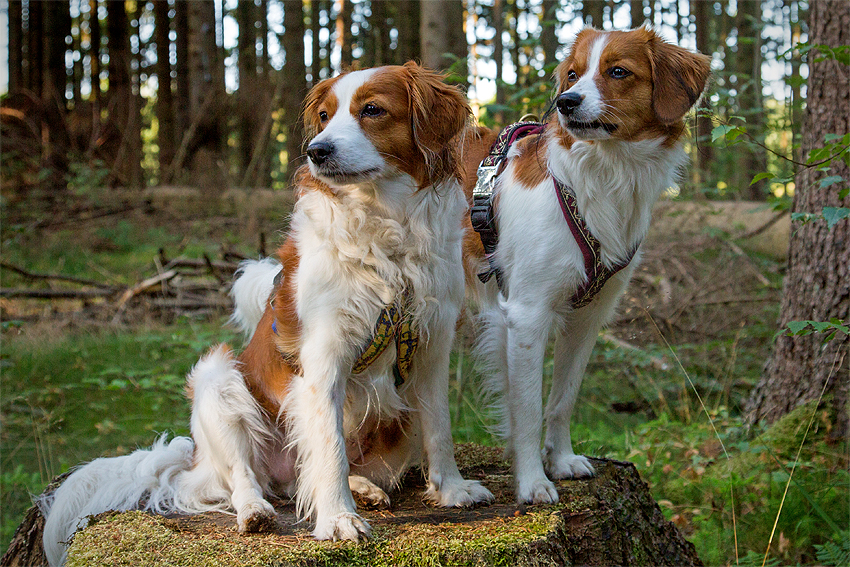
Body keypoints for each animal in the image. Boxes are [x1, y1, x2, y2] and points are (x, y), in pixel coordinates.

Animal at [43, 63, 494, 567]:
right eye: (324, 116)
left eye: (373, 110)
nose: (317, 151)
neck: (386, 222)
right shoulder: (323, 358)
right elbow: (330, 447)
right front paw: (338, 519)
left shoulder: (431, 346)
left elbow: (439, 428)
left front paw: (452, 490)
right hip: (218, 382)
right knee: (246, 478)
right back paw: (257, 509)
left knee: (306, 476)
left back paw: (363, 488)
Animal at [460, 27, 712, 506]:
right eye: (574, 75)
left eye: (619, 72)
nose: (566, 102)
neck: (607, 171)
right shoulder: (527, 314)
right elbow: (528, 407)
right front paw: (532, 480)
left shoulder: (588, 315)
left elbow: (563, 399)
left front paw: (560, 461)